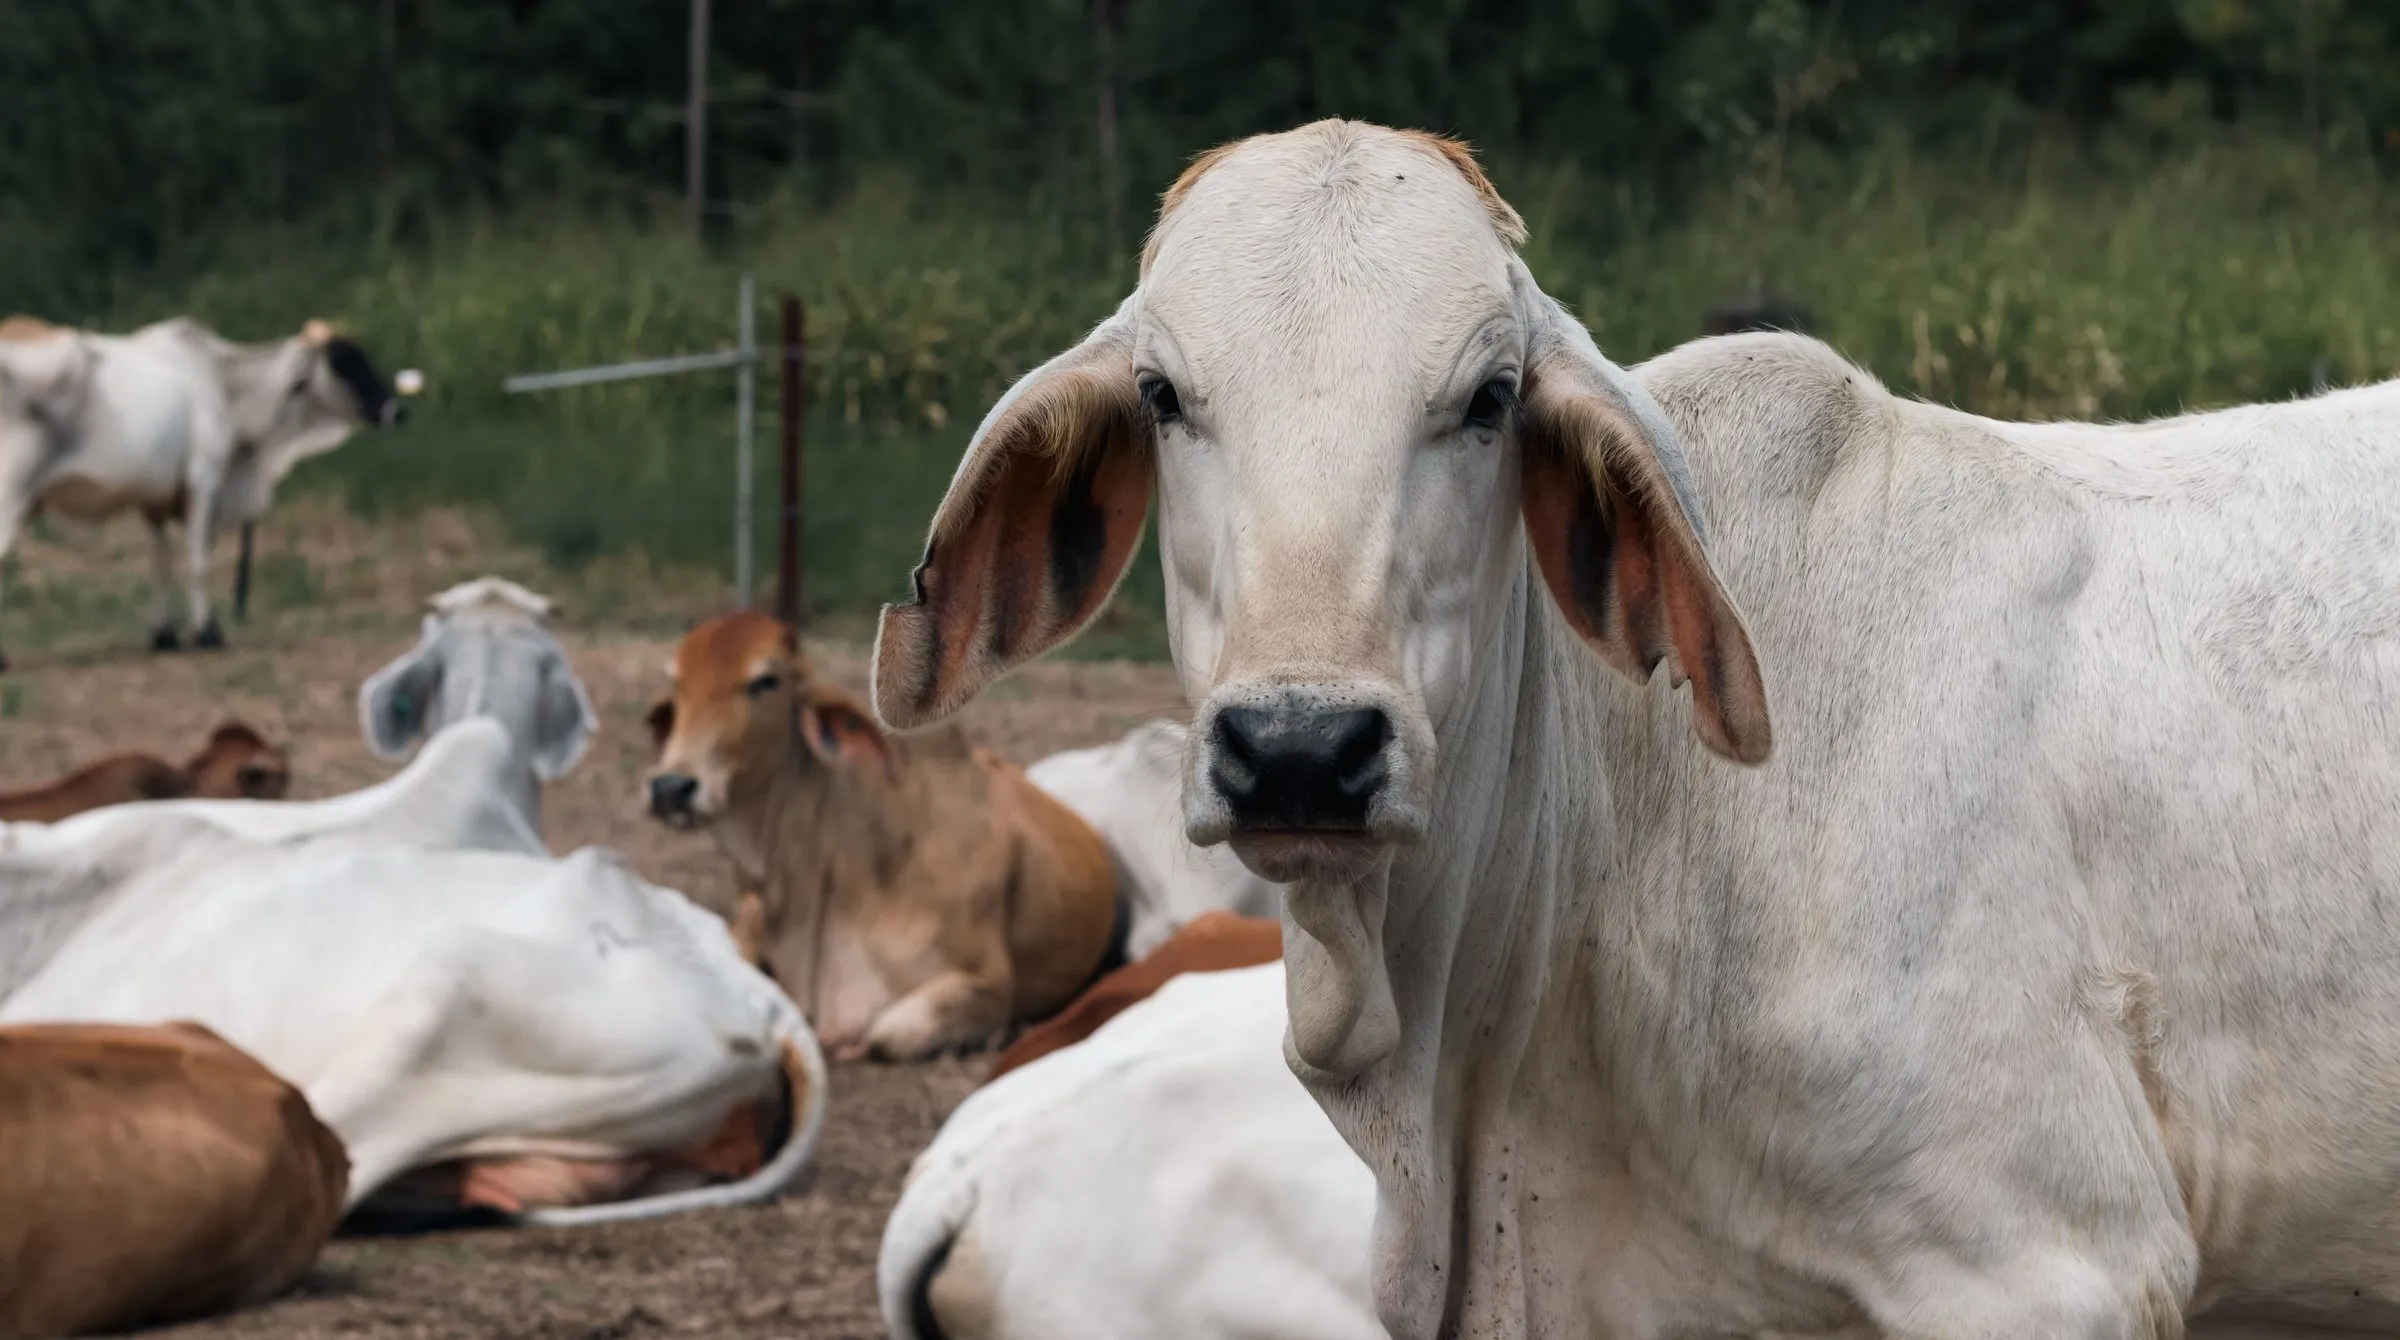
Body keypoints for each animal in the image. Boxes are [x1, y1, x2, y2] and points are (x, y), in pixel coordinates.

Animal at [0, 315, 406, 668]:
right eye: (343, 361)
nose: (397, 410)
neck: (225, 385)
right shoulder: (205, 484)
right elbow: (198, 563)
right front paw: (207, 633)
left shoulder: (155, 502)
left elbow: (162, 565)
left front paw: (164, 636)